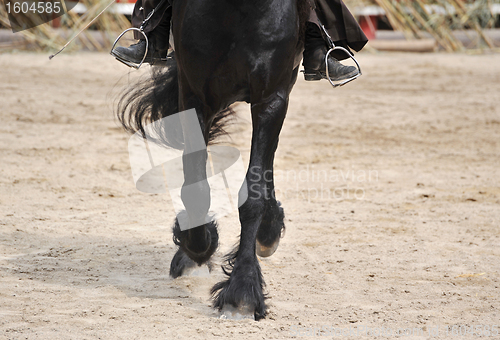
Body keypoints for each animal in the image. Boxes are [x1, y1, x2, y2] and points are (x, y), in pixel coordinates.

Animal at [119, 0, 310, 320]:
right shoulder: (195, 95)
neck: (238, 9)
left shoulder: (271, 98)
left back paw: (268, 231)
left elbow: (253, 192)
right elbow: (195, 189)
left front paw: (243, 291)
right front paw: (198, 245)